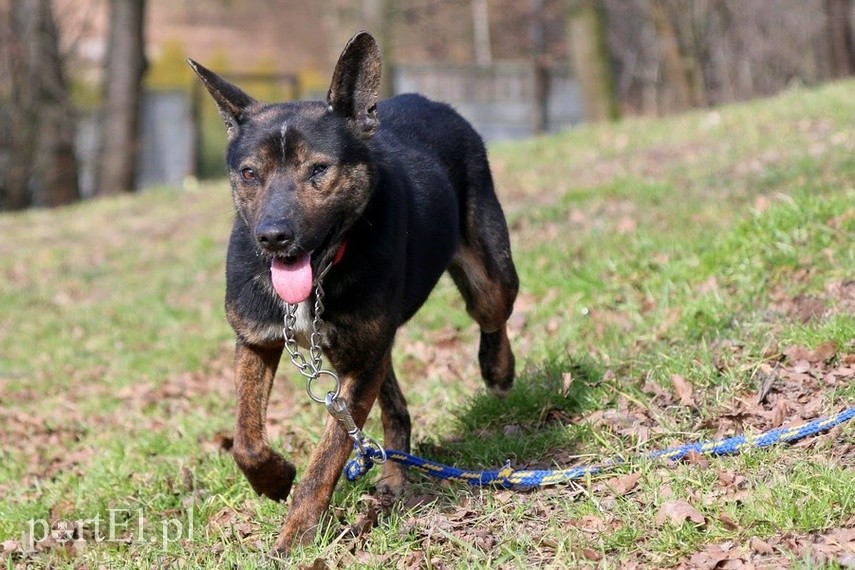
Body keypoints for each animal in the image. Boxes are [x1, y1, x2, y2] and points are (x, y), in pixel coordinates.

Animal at [190, 30, 520, 552]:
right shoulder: (257, 340)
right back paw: (391, 482)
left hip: (487, 276)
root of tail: (431, 101)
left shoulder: (360, 366)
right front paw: (274, 479)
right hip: (366, 348)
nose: (272, 237)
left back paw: (497, 367)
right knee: (396, 410)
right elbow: (246, 439)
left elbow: (327, 455)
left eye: (319, 170)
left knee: (493, 312)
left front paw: (296, 535)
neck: (322, 274)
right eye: (249, 173)